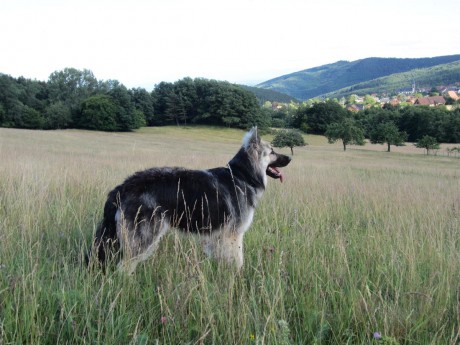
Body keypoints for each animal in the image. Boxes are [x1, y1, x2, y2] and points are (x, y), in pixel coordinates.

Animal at [91, 127, 290, 274]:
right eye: (272, 151)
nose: (290, 157)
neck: (242, 175)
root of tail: (123, 186)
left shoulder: (218, 237)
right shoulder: (233, 235)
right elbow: (237, 262)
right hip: (144, 237)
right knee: (123, 267)